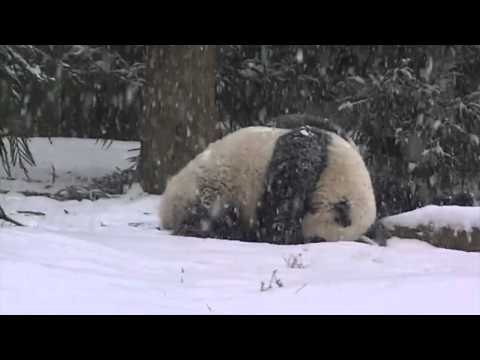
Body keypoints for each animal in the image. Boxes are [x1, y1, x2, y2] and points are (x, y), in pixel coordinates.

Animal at [159, 124, 376, 245]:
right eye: (317, 240)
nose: (301, 239)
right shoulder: (305, 156)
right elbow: (281, 209)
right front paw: (279, 234)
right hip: (208, 185)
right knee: (207, 212)